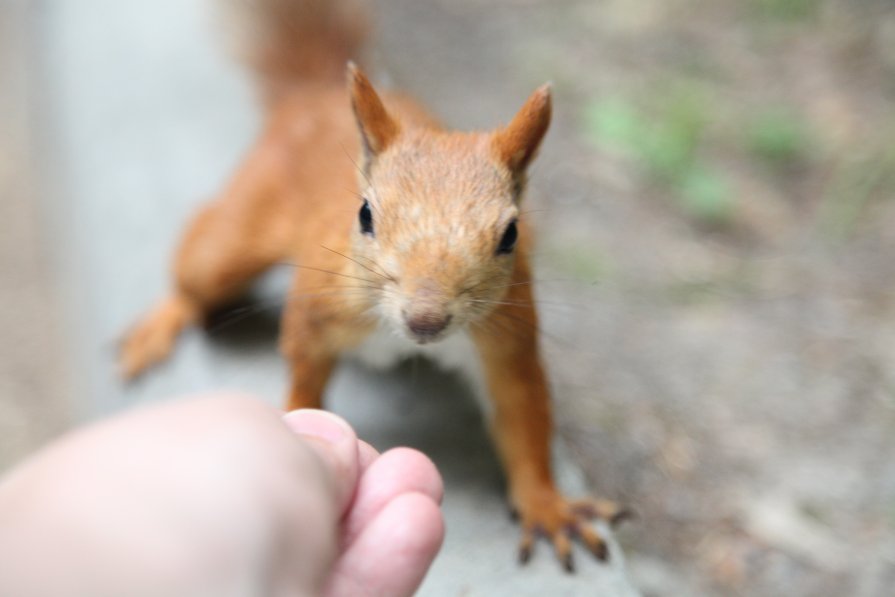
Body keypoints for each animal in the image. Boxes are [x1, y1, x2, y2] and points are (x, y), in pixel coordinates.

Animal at [119, 0, 628, 572]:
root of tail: (314, 97)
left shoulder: (505, 335)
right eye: (364, 214)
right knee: (203, 261)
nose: (426, 319)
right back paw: (164, 319)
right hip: (240, 231)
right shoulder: (317, 308)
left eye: (511, 235)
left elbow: (524, 414)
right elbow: (304, 370)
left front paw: (546, 506)